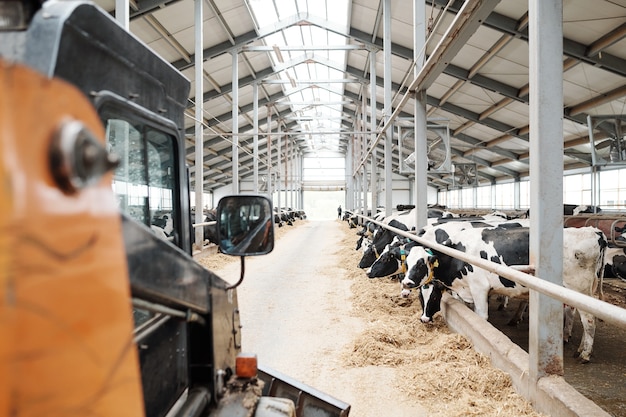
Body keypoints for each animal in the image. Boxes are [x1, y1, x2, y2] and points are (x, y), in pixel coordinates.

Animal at [400, 226, 604, 362]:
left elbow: (480, 318)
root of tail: (592, 232)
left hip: (578, 289)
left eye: (421, 264)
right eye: (407, 263)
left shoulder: (480, 288)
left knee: (589, 320)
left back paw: (585, 354)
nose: (406, 282)